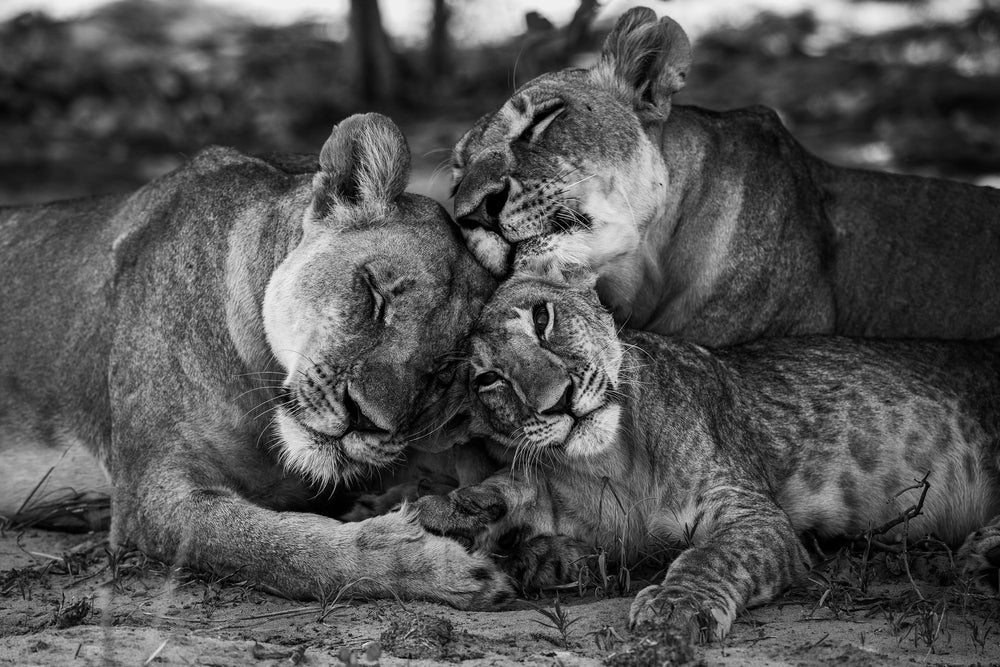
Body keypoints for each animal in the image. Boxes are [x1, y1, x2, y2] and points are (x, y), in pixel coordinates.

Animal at [0, 113, 514, 607]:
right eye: (375, 294)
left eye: (445, 372)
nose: (363, 419)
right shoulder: (149, 496)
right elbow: (284, 548)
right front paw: (431, 562)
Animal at [414, 266, 1000, 640]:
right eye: (488, 379)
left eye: (542, 318)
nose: (558, 400)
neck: (611, 462)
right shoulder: (587, 514)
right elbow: (515, 490)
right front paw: (462, 512)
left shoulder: (752, 512)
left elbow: (709, 556)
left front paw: (675, 608)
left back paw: (985, 554)